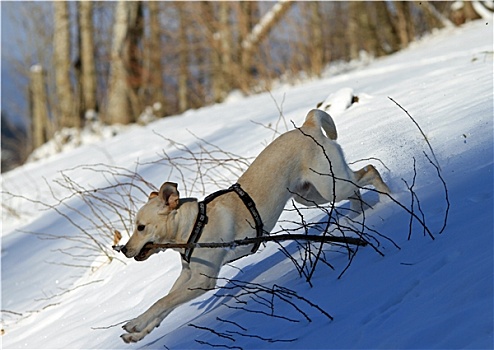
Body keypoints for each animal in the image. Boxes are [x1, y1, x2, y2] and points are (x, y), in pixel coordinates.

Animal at [119, 108, 390, 342]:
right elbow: (164, 305)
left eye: (140, 227)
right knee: (356, 190)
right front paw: (139, 332)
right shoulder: (187, 275)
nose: (123, 250)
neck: (194, 226)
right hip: (311, 194)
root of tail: (308, 125)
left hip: (329, 185)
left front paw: (134, 324)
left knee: (369, 171)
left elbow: (162, 302)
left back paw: (389, 200)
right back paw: (358, 217)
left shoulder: (202, 280)